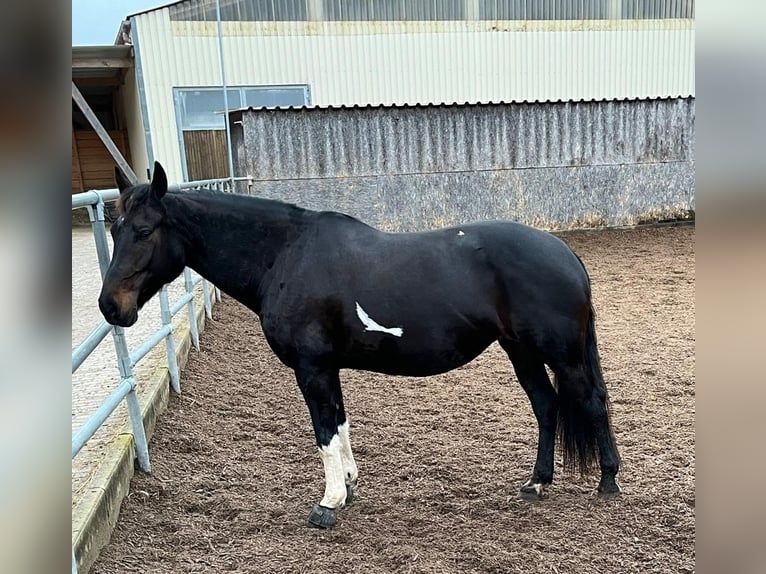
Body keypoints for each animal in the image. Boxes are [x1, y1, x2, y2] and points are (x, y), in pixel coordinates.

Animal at [99, 162, 621, 529]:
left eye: (143, 230)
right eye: (113, 229)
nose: (110, 307)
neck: (284, 255)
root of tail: (564, 251)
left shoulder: (311, 367)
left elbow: (324, 431)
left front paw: (328, 503)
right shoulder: (327, 367)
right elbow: (341, 424)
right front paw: (348, 485)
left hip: (563, 355)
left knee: (592, 402)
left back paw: (609, 481)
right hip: (521, 351)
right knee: (547, 406)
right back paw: (537, 482)